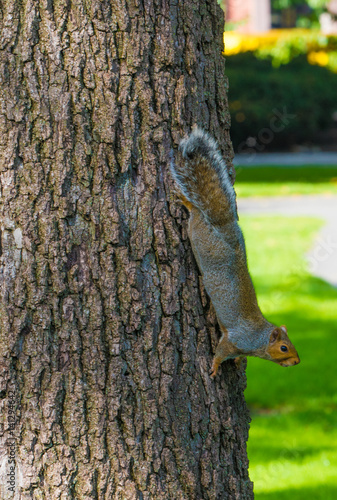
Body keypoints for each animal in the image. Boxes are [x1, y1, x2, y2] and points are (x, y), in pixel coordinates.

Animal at [171, 127, 300, 376]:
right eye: (283, 347)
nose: (297, 362)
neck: (258, 339)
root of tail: (224, 228)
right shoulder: (235, 341)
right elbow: (221, 352)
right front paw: (213, 367)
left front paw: (239, 363)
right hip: (200, 237)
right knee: (196, 215)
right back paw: (189, 204)